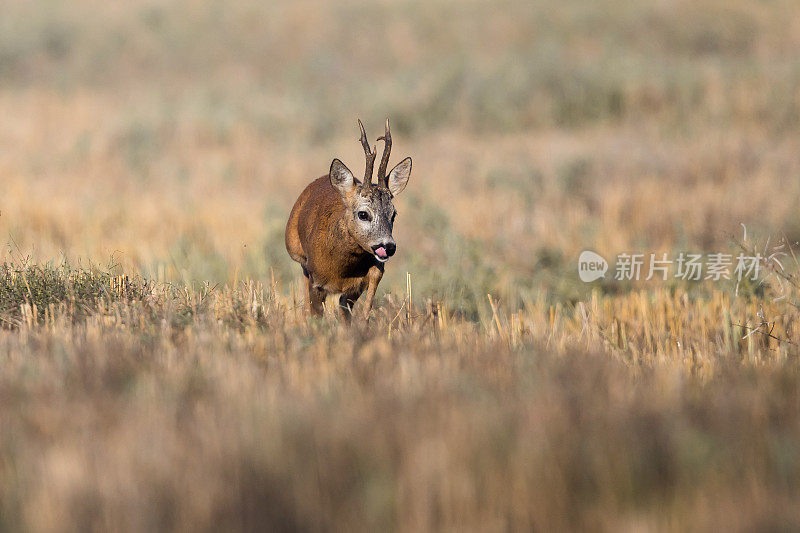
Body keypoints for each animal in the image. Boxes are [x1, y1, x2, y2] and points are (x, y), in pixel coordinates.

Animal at [286, 119, 412, 320]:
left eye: (393, 214)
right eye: (363, 214)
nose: (388, 246)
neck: (341, 268)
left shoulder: (360, 284)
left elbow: (360, 308)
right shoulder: (315, 280)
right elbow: (316, 314)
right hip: (300, 258)